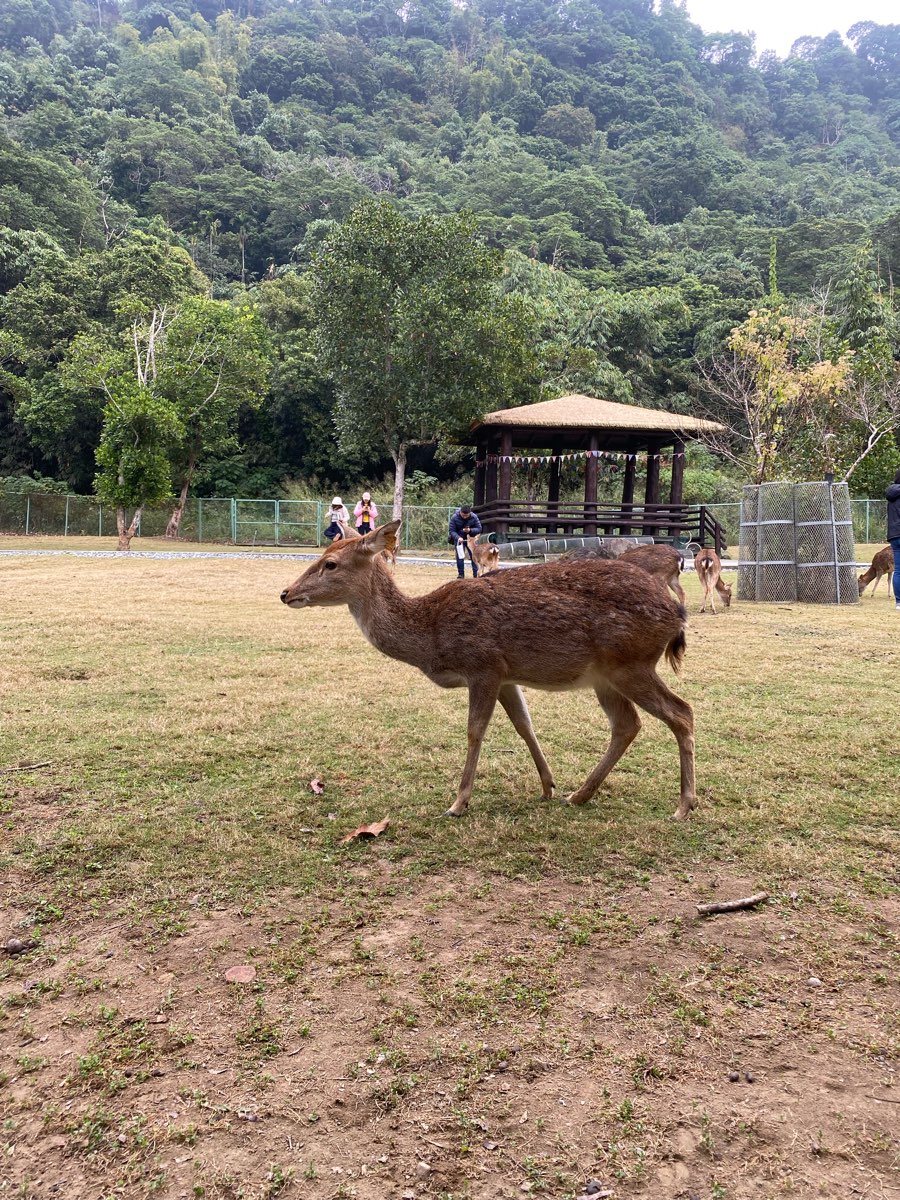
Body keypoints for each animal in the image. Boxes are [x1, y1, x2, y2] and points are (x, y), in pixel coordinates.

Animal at [280, 520, 696, 821]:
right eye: (323, 554)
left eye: (330, 563)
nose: (286, 592)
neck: (430, 633)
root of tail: (677, 615)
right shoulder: (507, 674)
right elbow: (524, 725)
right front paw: (548, 786)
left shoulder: (483, 665)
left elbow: (474, 730)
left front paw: (457, 803)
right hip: (605, 676)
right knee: (627, 724)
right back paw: (579, 794)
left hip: (631, 663)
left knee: (681, 712)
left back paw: (683, 805)